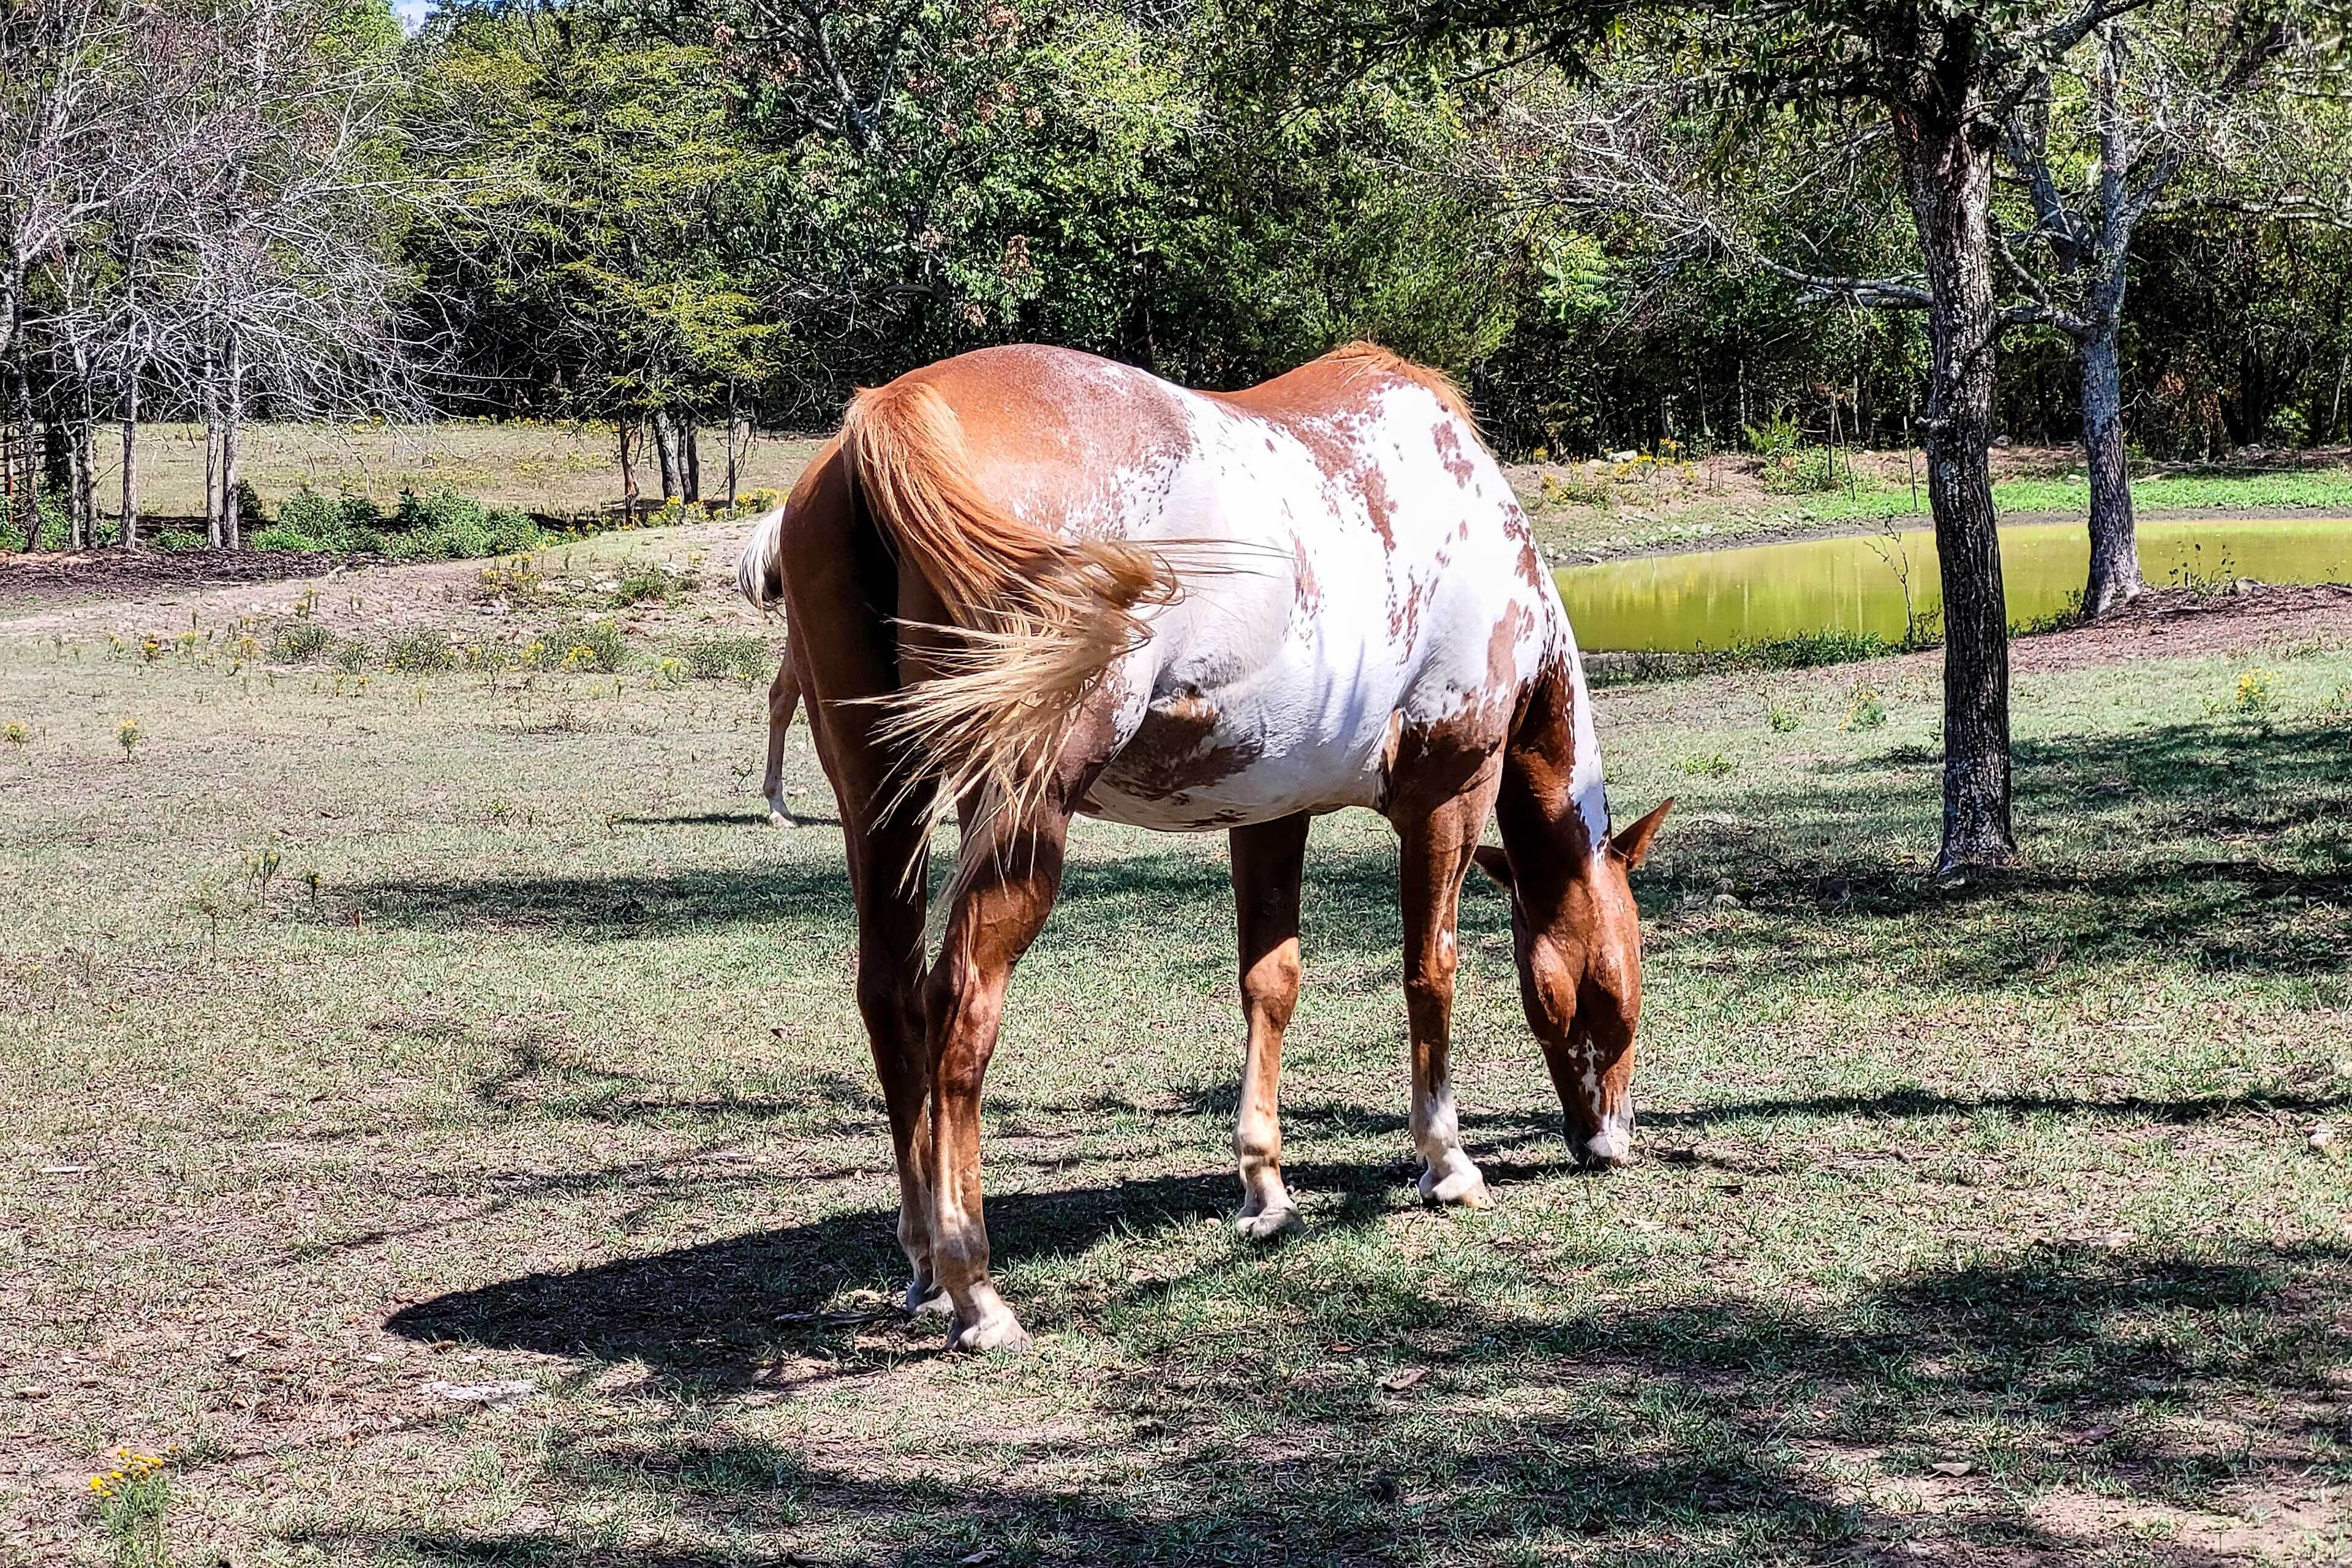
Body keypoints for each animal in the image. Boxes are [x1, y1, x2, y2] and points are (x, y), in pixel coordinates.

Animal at [742, 343, 1669, 1351]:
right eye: (1620, 984)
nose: (1608, 1143)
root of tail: (893, 411)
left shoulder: (1269, 811)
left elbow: (1271, 984)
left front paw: (1266, 1189)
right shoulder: (1447, 801)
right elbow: (1432, 970)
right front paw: (1448, 1160)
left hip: (883, 800)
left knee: (890, 995)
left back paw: (919, 1260)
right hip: (1021, 817)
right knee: (961, 1003)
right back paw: (973, 1284)